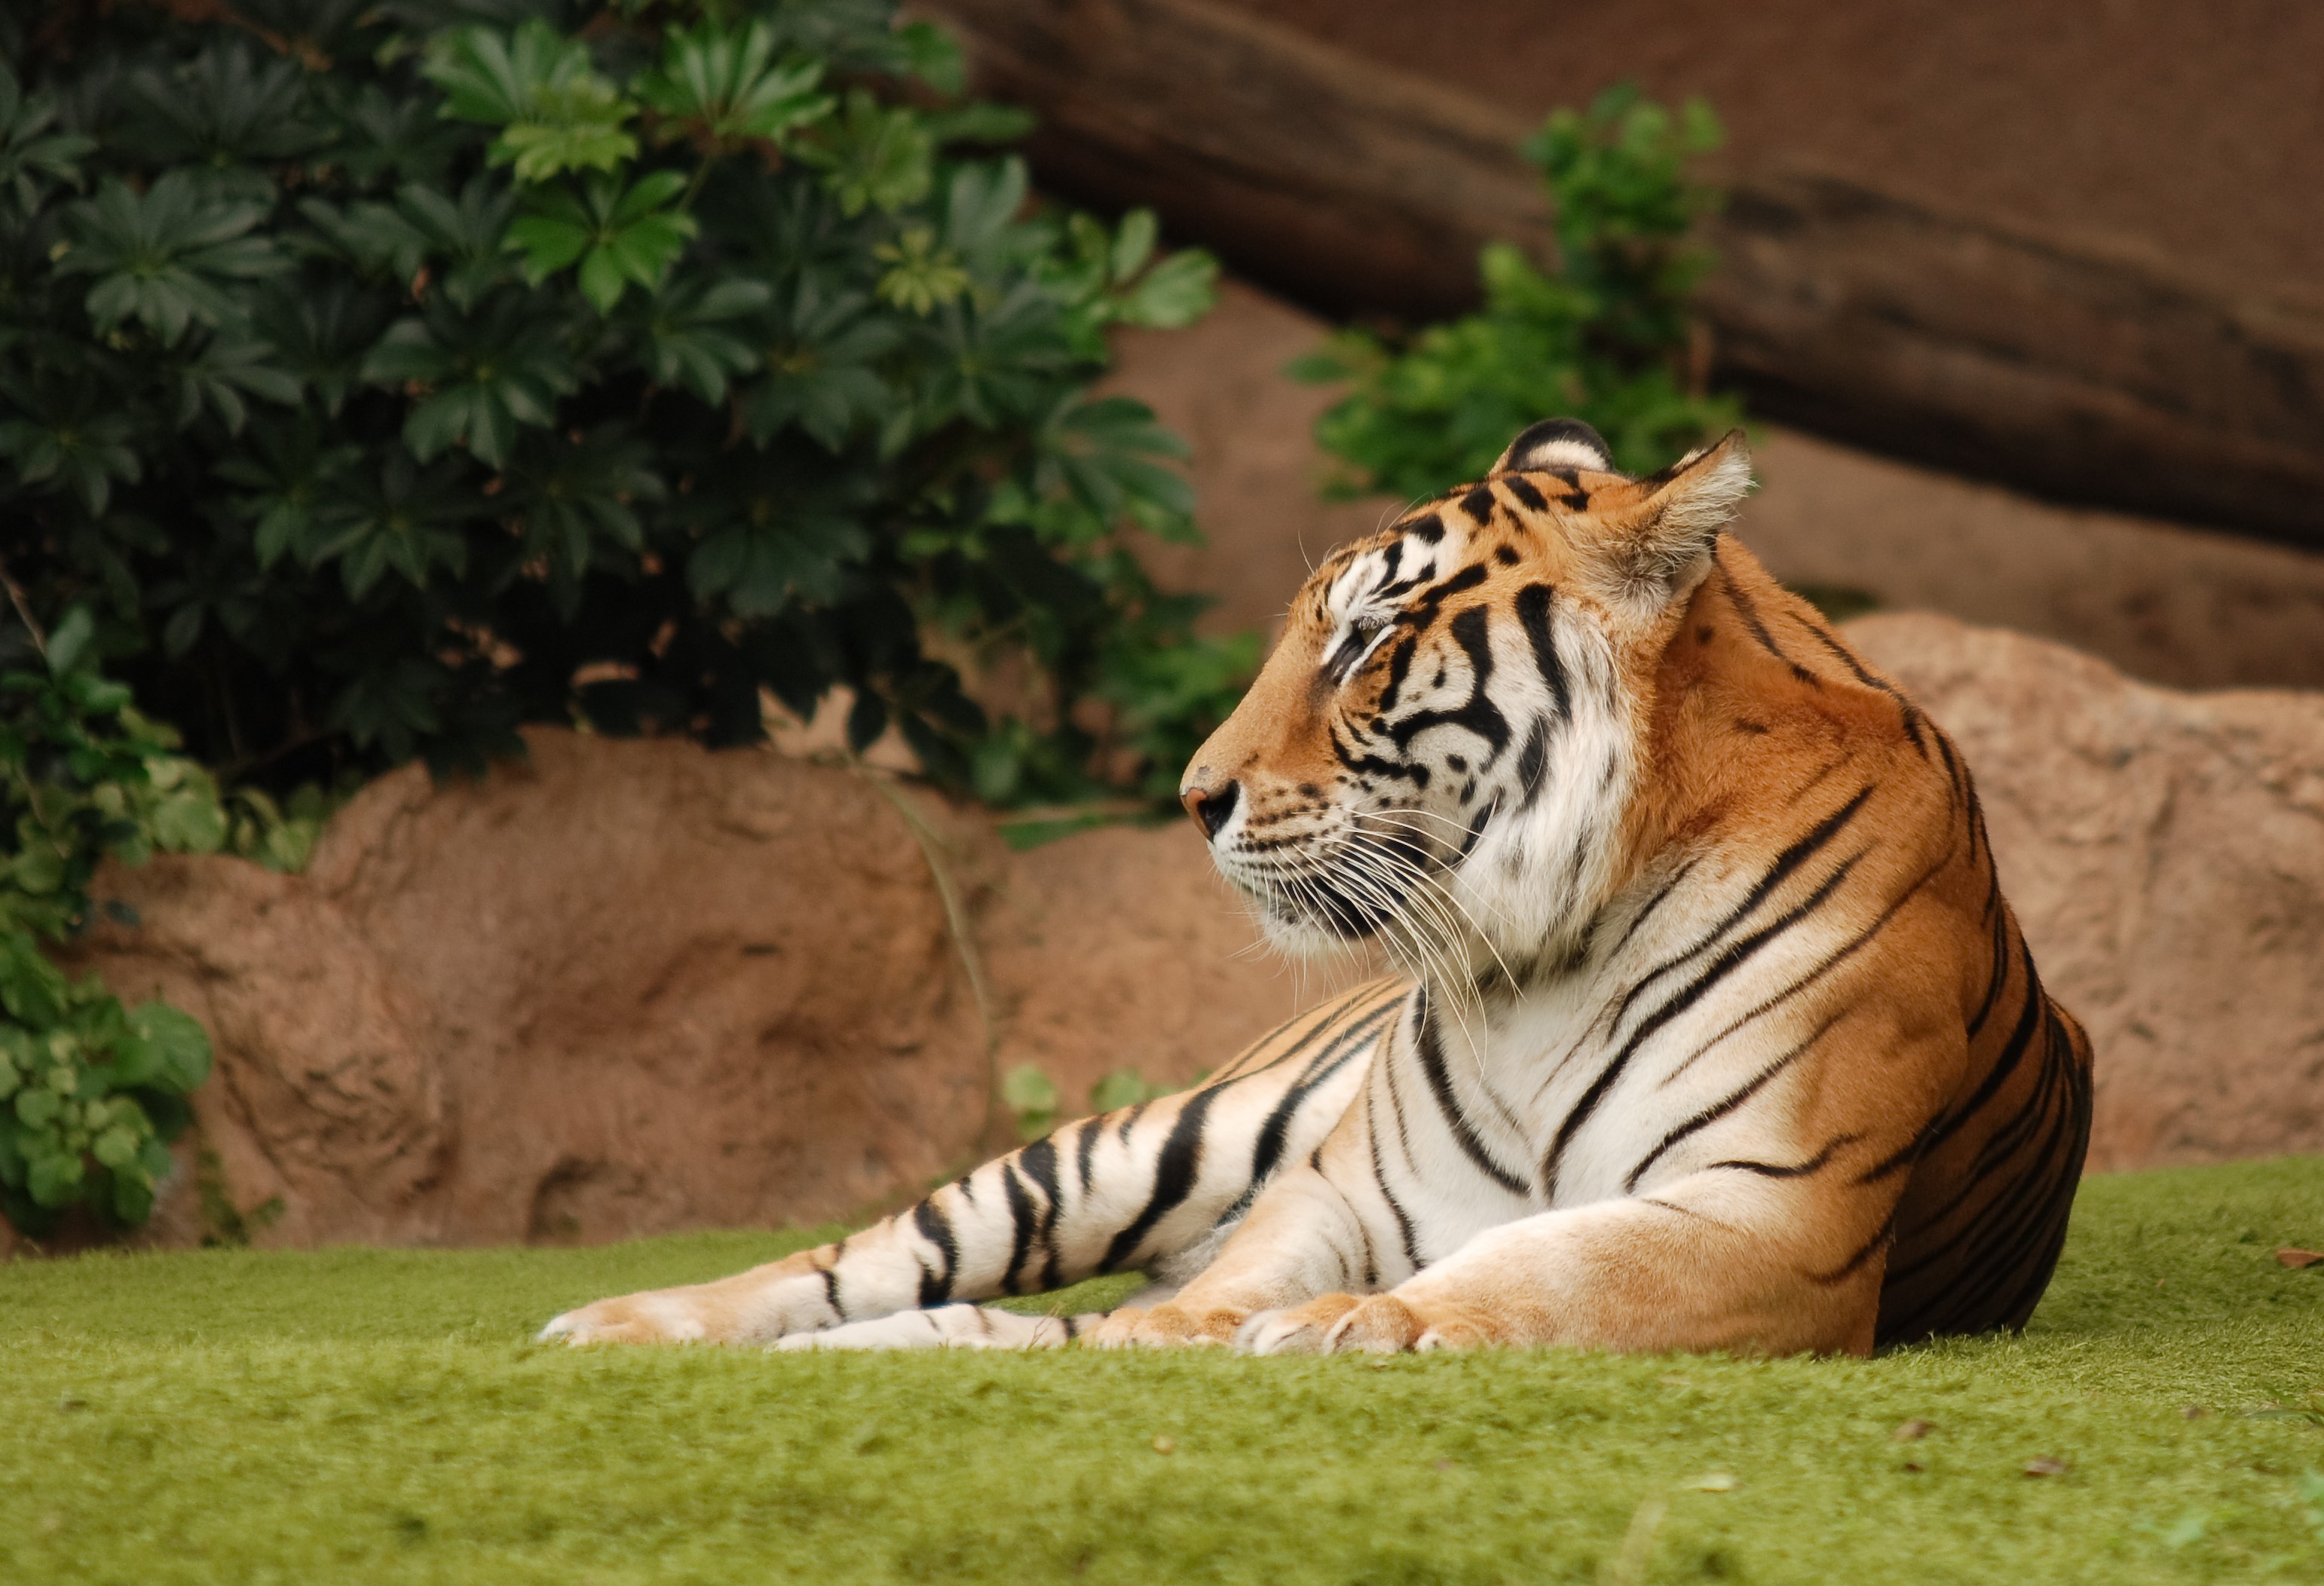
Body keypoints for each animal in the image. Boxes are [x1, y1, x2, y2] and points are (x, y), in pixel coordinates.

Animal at [542, 418, 2094, 1358]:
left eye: (1361, 643)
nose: (1190, 796)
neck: (1546, 955)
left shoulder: (1775, 1214)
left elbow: (1550, 1269)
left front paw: (1366, 1327)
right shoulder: (1335, 1184)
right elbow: (1237, 1278)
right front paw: (1184, 1341)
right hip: (1144, 1143)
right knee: (857, 1259)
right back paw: (618, 1320)